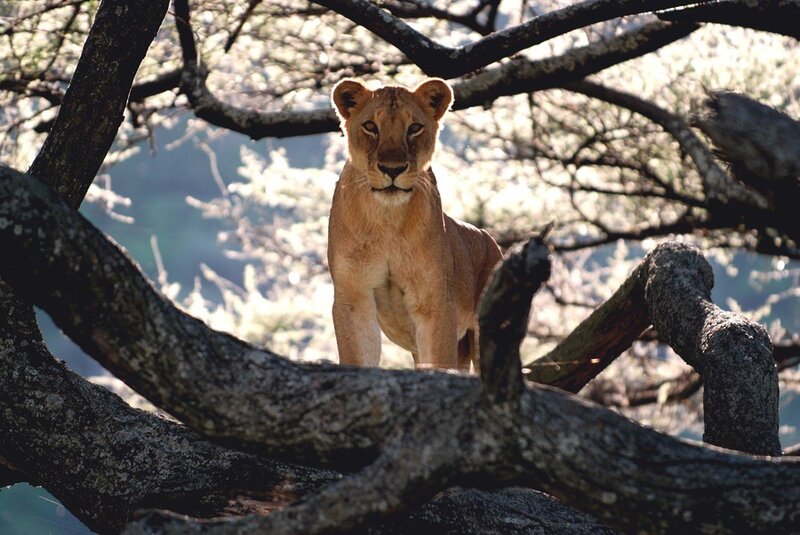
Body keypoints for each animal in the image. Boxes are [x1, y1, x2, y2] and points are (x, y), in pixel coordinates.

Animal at [328, 78, 502, 370]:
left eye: (414, 128)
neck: (387, 219)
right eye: (370, 126)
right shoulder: (353, 298)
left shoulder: (435, 304)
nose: (392, 169)